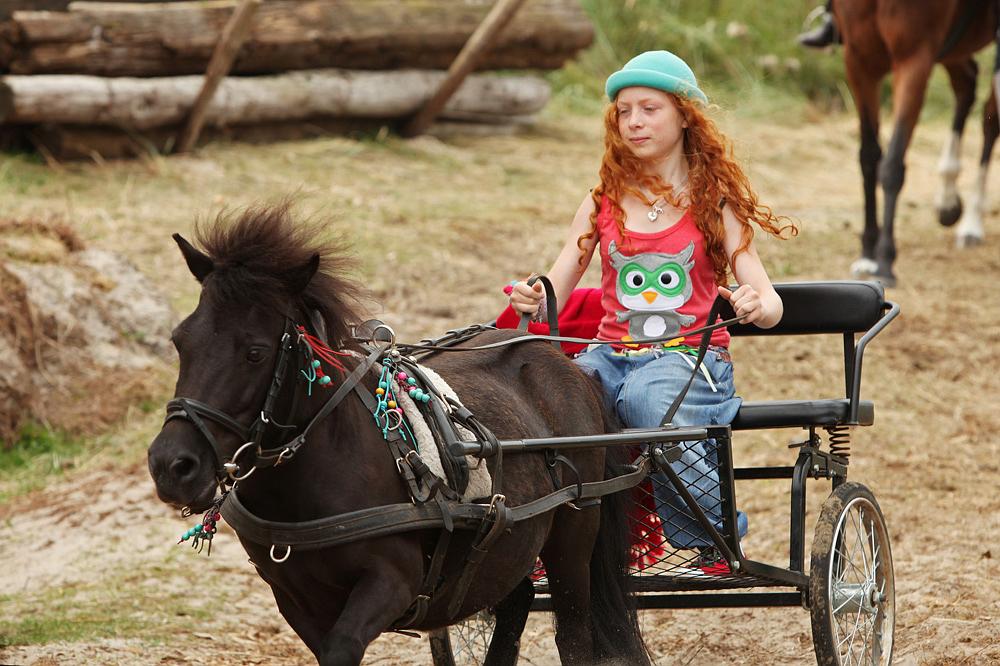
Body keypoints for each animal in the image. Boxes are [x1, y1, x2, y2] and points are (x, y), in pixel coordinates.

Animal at [148, 202, 648, 664]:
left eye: (254, 352)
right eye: (180, 340)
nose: (171, 466)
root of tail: (554, 355)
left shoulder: (393, 582)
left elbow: (344, 647)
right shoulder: (295, 600)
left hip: (574, 537)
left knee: (574, 634)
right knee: (516, 605)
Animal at [840, 0, 996, 282]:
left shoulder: (914, 58)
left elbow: (892, 164)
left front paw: (885, 259)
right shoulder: (858, 60)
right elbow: (869, 156)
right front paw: (868, 253)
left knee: (991, 117)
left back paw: (972, 223)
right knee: (966, 84)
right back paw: (948, 201)